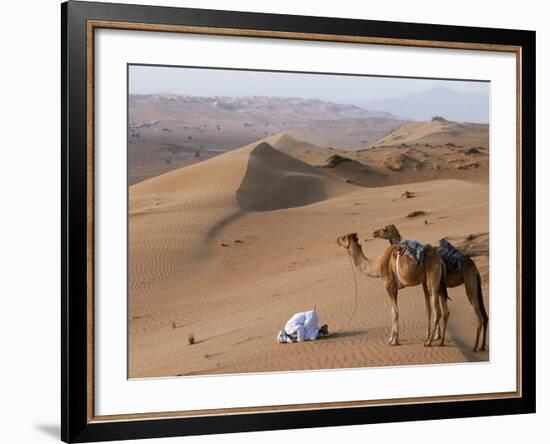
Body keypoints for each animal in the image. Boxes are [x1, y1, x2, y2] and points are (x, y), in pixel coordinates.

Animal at [374, 224, 490, 352]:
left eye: (384, 229)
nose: (374, 233)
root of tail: (474, 266)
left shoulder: (431, 286)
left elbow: (435, 311)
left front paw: (432, 338)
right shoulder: (433, 287)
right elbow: (437, 311)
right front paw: (437, 338)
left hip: (469, 284)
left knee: (477, 314)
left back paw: (473, 347)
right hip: (475, 284)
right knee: (484, 315)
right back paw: (482, 346)